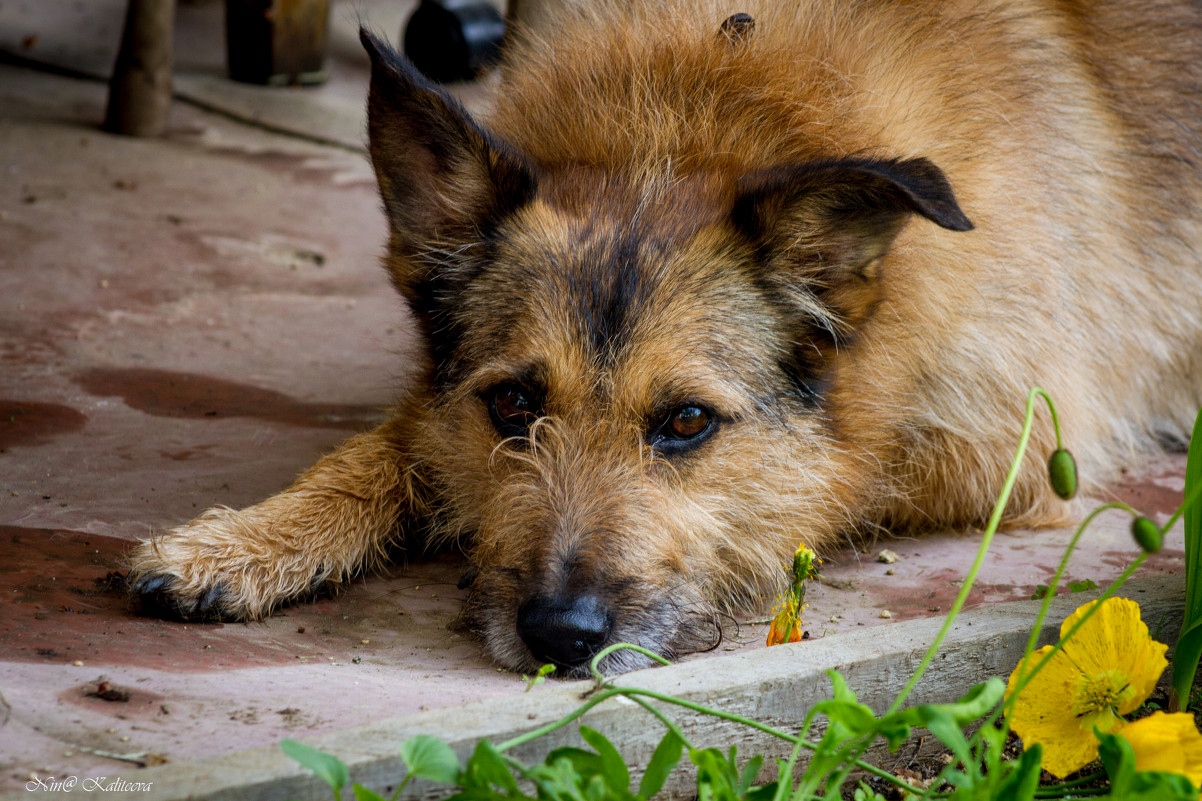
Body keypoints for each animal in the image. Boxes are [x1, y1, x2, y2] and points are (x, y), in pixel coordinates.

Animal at [129, 0, 1202, 673]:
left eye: (687, 422)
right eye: (512, 403)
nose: (560, 633)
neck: (684, 126)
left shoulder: (1011, 451)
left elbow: (838, 477)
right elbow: (392, 447)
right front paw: (241, 541)